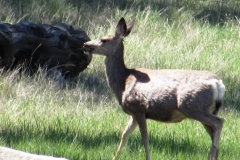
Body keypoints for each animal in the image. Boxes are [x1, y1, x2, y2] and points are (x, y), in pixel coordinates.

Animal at [83, 17, 225, 160]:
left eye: (104, 40)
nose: (85, 44)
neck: (123, 82)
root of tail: (218, 83)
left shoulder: (138, 108)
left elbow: (145, 139)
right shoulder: (134, 113)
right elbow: (124, 135)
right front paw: (115, 157)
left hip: (192, 105)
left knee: (219, 122)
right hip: (206, 109)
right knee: (214, 133)